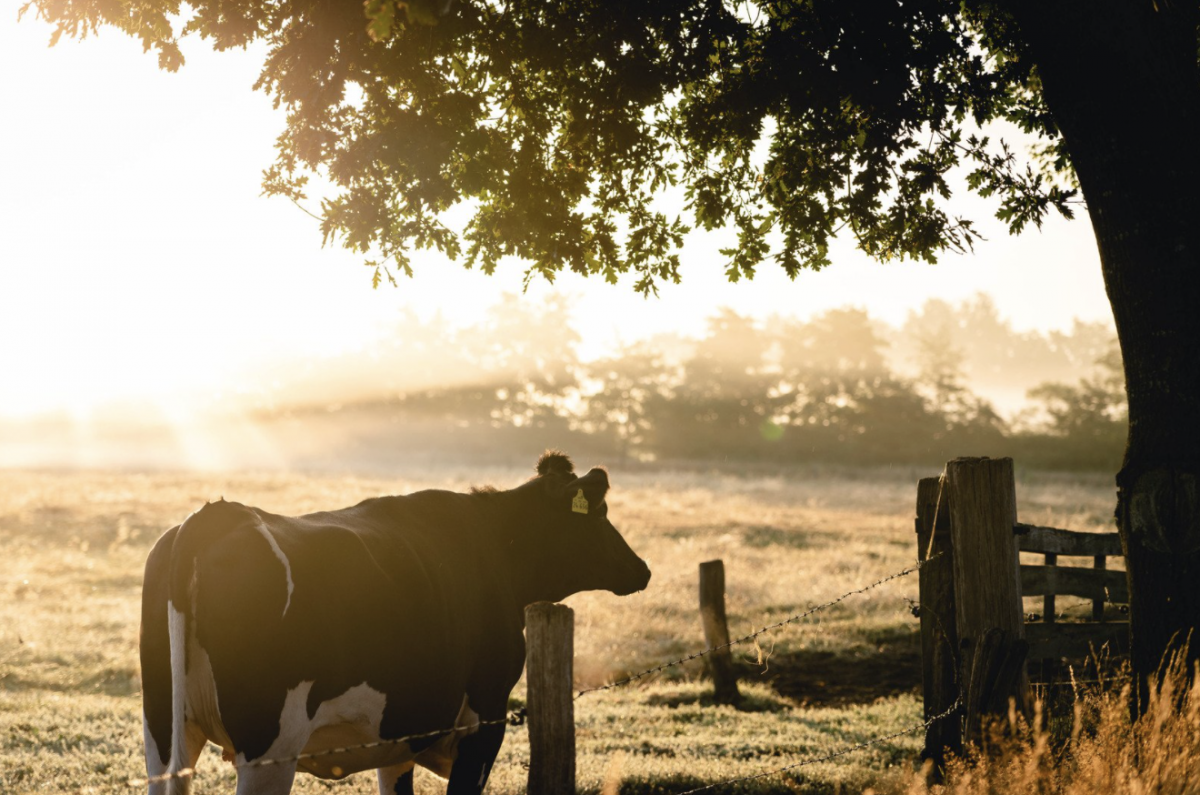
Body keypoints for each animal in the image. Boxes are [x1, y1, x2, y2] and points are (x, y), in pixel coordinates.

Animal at [140, 453, 652, 795]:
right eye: (600, 514)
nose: (642, 569)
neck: (494, 547)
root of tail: (217, 514)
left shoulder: (400, 733)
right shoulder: (484, 721)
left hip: (164, 734)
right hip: (268, 747)